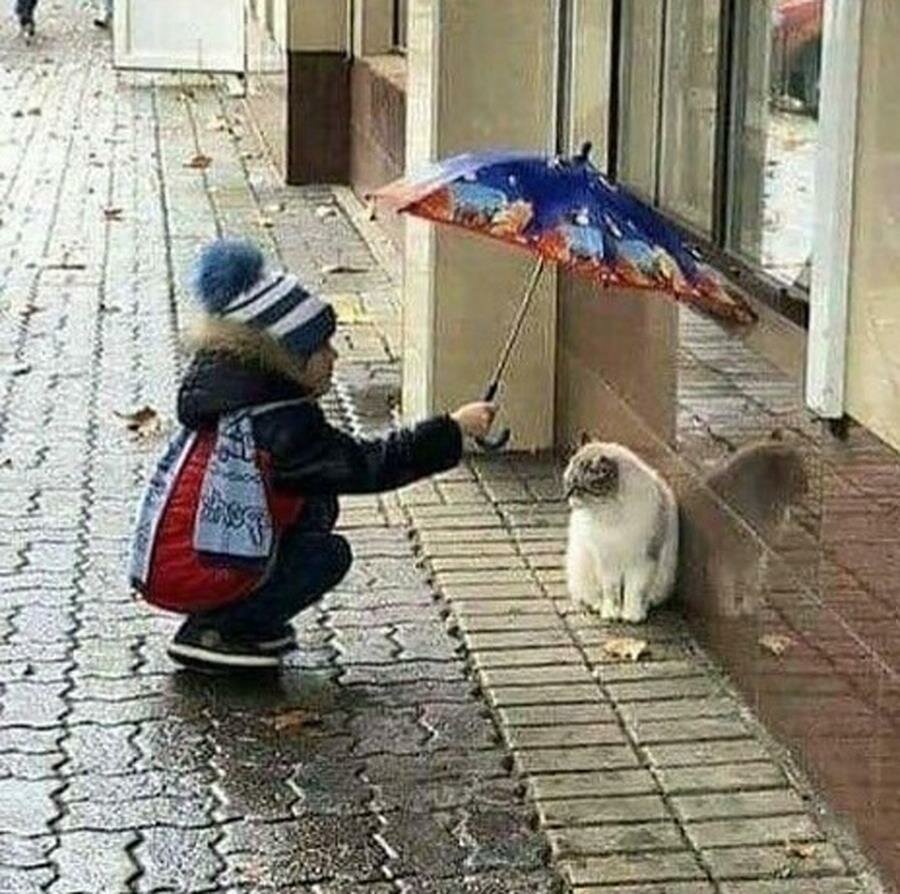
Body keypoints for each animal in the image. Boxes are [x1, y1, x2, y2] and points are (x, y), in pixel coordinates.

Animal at [560, 440, 680, 624]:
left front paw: (632, 615)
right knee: (590, 595)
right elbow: (612, 591)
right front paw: (611, 613)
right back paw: (598, 605)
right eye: (567, 485)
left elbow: (634, 590)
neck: (611, 513)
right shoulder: (607, 560)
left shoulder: (642, 559)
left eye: (577, 488)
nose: (567, 497)